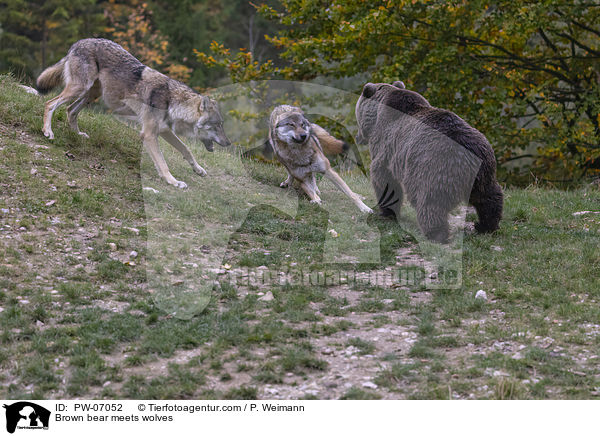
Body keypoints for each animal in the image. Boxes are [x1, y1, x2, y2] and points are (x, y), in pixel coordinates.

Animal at [36, 39, 231, 191]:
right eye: (217, 125)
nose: (229, 143)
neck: (172, 101)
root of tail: (79, 43)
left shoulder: (164, 131)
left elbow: (186, 149)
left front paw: (198, 169)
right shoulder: (149, 134)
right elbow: (163, 163)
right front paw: (173, 182)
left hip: (92, 94)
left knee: (70, 110)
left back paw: (77, 134)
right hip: (80, 89)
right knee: (50, 104)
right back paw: (48, 131)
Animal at [354, 82, 504, 242]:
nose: (357, 137)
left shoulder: (385, 145)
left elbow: (383, 177)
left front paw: (386, 212)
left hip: (434, 167)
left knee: (431, 202)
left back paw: (435, 233)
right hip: (484, 168)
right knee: (489, 197)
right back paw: (485, 226)